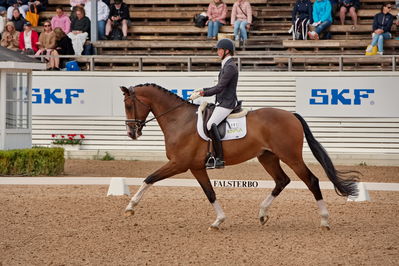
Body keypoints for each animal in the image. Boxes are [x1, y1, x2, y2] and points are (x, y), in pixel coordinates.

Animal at [119, 83, 360, 231]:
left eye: (129, 105)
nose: (131, 133)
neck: (179, 120)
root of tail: (291, 115)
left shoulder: (179, 163)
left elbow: (149, 178)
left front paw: (130, 207)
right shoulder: (196, 167)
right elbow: (210, 193)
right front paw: (218, 221)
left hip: (290, 156)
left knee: (311, 180)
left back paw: (324, 221)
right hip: (268, 157)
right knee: (282, 180)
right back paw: (262, 213)